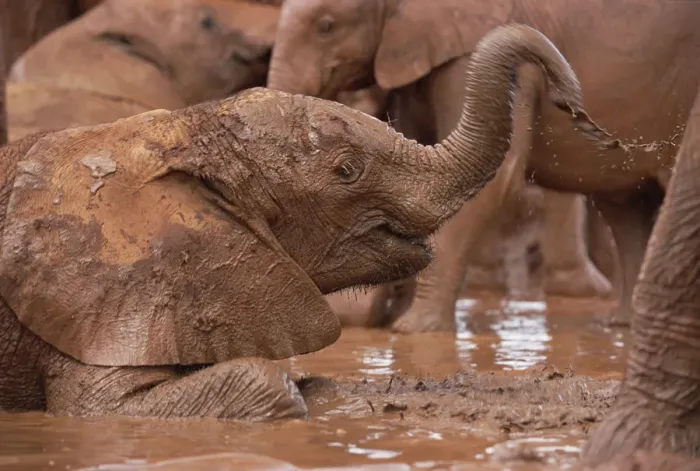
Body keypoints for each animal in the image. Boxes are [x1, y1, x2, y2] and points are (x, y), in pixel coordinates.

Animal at [267, 0, 694, 331]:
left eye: (326, 26)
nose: (573, 105)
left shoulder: (467, 52)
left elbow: (496, 178)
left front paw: (411, 331)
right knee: (627, 209)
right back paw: (622, 325)